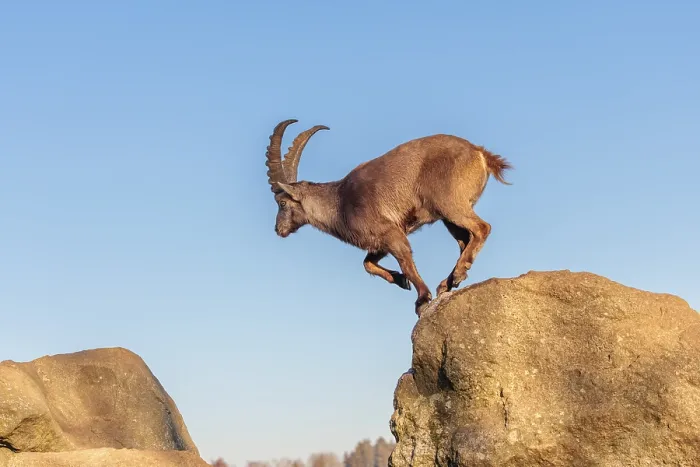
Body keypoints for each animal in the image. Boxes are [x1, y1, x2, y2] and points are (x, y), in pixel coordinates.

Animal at [265, 118, 512, 315]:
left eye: (282, 202)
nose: (278, 229)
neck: (340, 202)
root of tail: (480, 154)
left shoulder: (391, 232)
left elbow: (405, 259)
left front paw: (422, 299)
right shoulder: (378, 243)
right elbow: (367, 264)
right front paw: (401, 280)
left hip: (450, 205)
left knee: (482, 228)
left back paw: (457, 275)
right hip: (448, 217)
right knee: (465, 240)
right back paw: (448, 282)